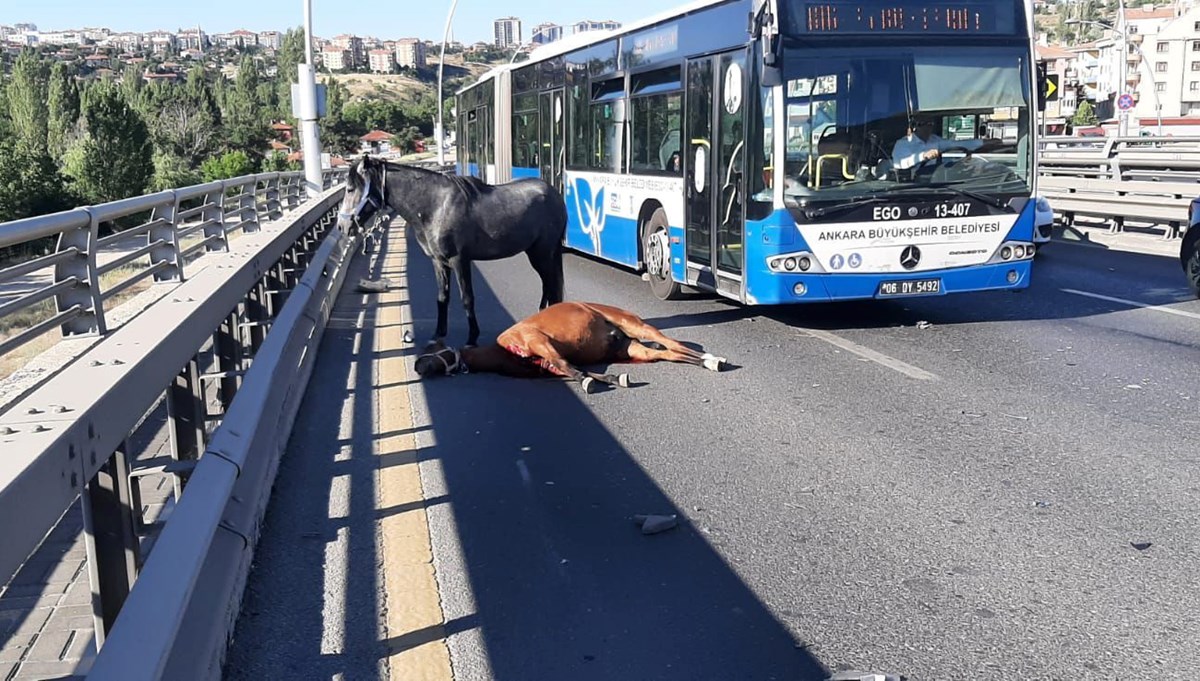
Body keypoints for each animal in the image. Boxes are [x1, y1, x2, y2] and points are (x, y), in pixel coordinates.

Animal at [333, 154, 566, 345]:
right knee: (548, 286)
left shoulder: (459, 261)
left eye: (350, 189)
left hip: (542, 254)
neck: (436, 206)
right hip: (538, 254)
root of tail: (554, 193)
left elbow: (467, 298)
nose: (342, 226)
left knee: (552, 287)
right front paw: (438, 334)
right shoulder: (438, 262)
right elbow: (442, 297)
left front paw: (472, 337)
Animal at [412, 300, 729, 390]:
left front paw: (590, 382)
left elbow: (568, 366)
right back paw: (707, 361)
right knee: (670, 353)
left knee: (674, 344)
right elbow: (572, 368)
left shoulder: (539, 341)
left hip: (635, 325)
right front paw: (612, 377)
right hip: (633, 347)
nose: (418, 367)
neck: (505, 350)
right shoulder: (542, 365)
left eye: (431, 350)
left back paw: (714, 358)